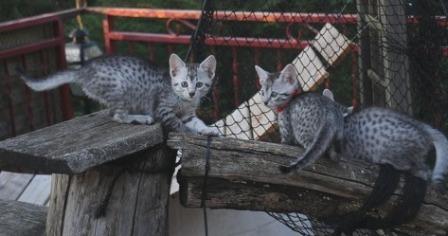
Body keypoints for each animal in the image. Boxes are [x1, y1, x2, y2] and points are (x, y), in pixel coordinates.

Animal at [17, 52, 220, 136]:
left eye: (199, 85)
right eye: (184, 84)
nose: (192, 93)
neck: (183, 100)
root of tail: (82, 70)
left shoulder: (188, 114)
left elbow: (197, 122)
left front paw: (208, 130)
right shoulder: (163, 110)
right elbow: (178, 124)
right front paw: (191, 133)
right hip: (120, 88)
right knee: (116, 115)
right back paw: (140, 118)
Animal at [256, 64, 448, 234]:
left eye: (274, 93)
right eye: (262, 92)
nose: (265, 102)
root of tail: (421, 129)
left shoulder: (289, 134)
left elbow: (287, 141)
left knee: (421, 170)